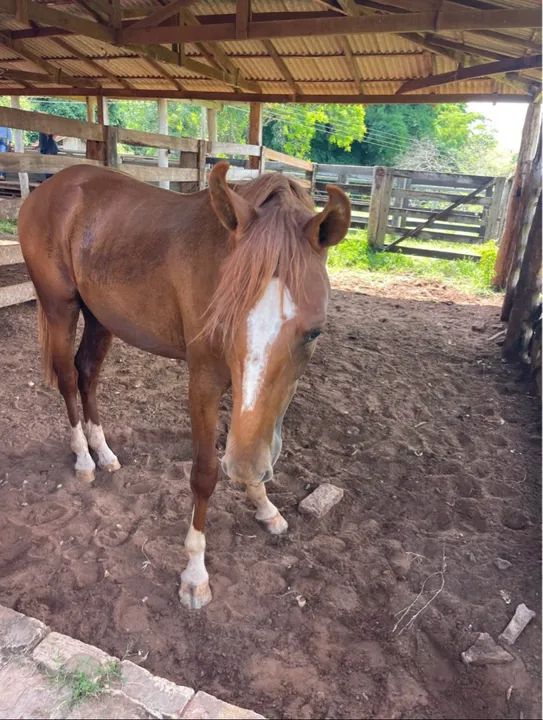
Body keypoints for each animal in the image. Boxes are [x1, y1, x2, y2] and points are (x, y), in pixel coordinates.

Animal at [18, 161, 351, 609]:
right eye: (225, 319)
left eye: (314, 332)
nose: (243, 470)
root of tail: (51, 186)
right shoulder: (204, 383)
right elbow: (205, 473)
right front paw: (195, 575)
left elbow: (259, 439)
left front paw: (264, 506)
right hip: (60, 307)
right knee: (69, 378)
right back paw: (84, 459)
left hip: (100, 317)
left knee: (87, 373)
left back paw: (103, 452)